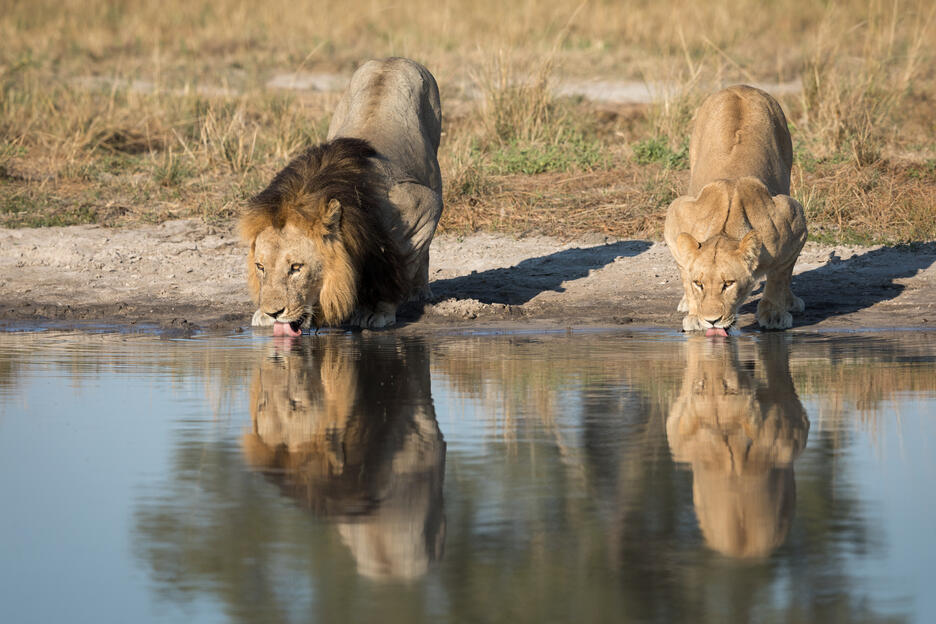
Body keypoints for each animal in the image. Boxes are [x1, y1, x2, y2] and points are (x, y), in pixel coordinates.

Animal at [240, 57, 443, 334]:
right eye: (260, 267)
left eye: (296, 268)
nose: (273, 313)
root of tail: (393, 58)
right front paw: (262, 315)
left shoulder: (422, 206)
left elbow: (399, 263)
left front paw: (378, 311)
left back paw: (420, 292)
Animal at [664, 85, 808, 334]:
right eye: (699, 283)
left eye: (728, 284)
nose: (711, 320)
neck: (725, 230)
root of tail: (740, 87)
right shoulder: (676, 217)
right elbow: (684, 268)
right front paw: (694, 314)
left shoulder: (795, 221)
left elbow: (780, 276)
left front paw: (774, 314)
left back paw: (791, 302)